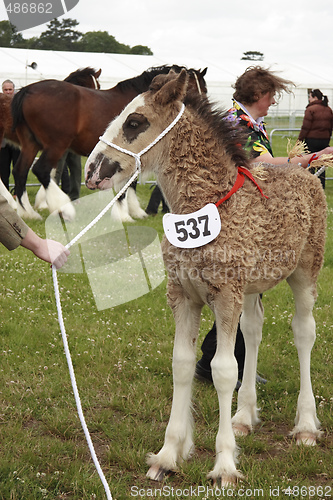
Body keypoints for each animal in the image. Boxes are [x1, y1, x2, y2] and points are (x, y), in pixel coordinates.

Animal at [11, 65, 205, 220]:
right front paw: (123, 215)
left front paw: (134, 210)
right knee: (41, 169)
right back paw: (62, 207)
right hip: (56, 146)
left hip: (31, 145)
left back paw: (27, 213)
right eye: (193, 86)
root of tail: (27, 90)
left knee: (20, 172)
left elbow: (130, 183)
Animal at [84, 71, 326, 488]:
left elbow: (223, 370)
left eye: (135, 122)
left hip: (305, 272)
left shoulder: (224, 296)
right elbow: (183, 363)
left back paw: (307, 427)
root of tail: (304, 168)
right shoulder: (184, 296)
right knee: (254, 330)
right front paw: (167, 456)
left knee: (303, 332)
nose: (92, 169)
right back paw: (243, 417)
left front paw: (225, 465)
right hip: (250, 289)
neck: (211, 201)